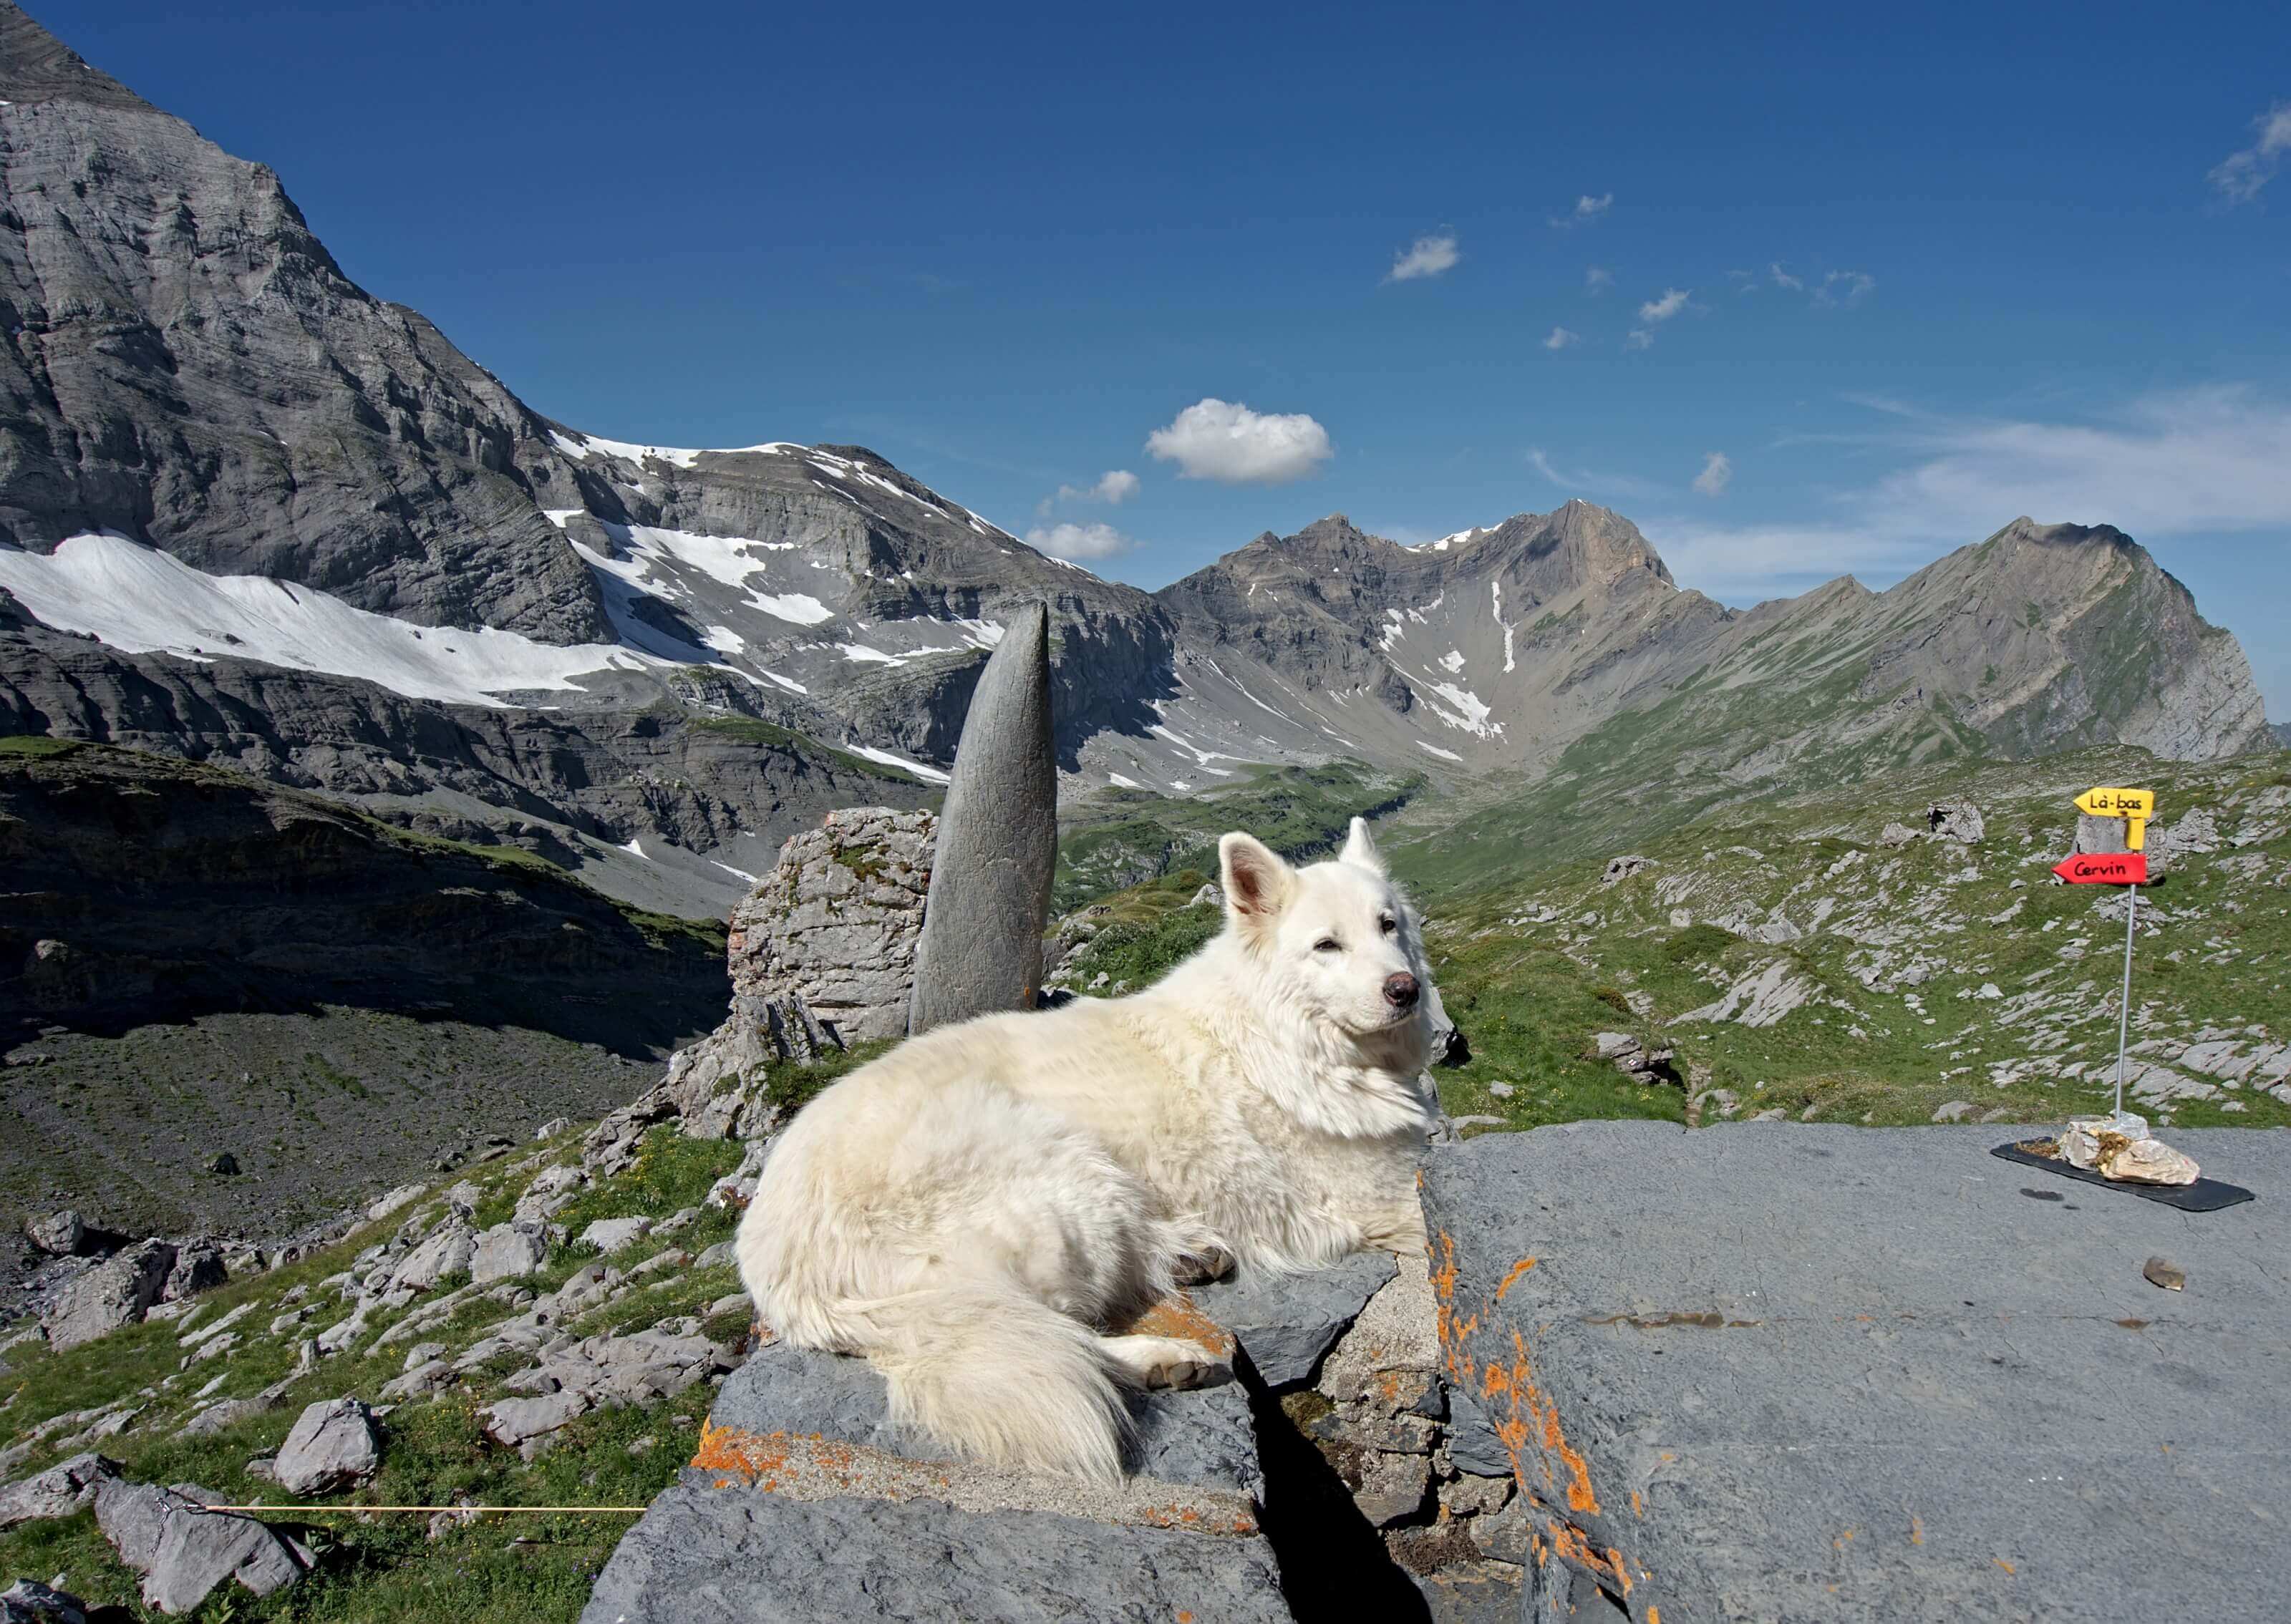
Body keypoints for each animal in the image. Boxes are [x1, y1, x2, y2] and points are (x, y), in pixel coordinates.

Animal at [733, 815, 1429, 1474]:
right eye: (1326, 945)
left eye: (1388, 925)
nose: (1406, 989)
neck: (1290, 1037)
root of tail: (777, 1264)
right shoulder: (1381, 1196)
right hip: (1062, 1186)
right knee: (1051, 1337)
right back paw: (1161, 1357)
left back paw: (1188, 1255)